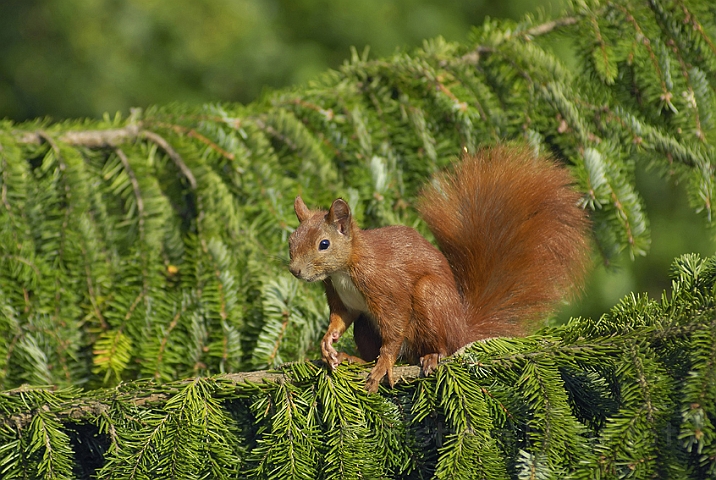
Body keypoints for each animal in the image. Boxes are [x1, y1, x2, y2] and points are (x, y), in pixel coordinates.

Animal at [288, 144, 592, 392]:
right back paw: (354, 358)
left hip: (431, 298)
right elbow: (341, 317)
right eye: (291, 239)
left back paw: (432, 356)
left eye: (324, 244)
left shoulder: (384, 284)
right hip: (367, 324)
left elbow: (395, 326)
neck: (344, 269)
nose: (295, 270)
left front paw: (383, 365)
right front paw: (328, 342)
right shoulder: (339, 295)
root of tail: (462, 329)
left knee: (441, 344)